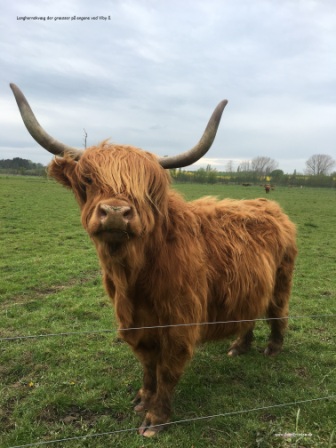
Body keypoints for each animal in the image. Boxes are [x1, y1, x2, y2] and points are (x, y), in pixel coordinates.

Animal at [10, 84, 298, 438]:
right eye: (88, 180)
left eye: (145, 187)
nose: (116, 212)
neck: (134, 277)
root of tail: (267, 205)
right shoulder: (133, 323)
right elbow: (148, 366)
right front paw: (143, 399)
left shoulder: (180, 323)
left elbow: (168, 370)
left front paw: (155, 418)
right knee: (250, 311)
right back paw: (239, 347)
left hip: (282, 279)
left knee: (277, 312)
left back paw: (272, 349)